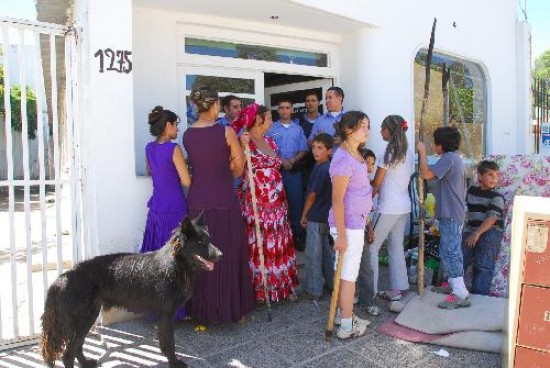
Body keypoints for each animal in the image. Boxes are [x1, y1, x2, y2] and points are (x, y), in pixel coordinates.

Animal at [40, 213, 222, 368]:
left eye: (209, 239)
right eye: (200, 242)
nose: (221, 255)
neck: (174, 266)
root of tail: (60, 279)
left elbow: (165, 342)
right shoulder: (165, 315)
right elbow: (169, 343)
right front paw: (174, 362)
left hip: (88, 319)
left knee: (77, 347)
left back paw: (86, 363)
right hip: (82, 320)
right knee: (68, 354)